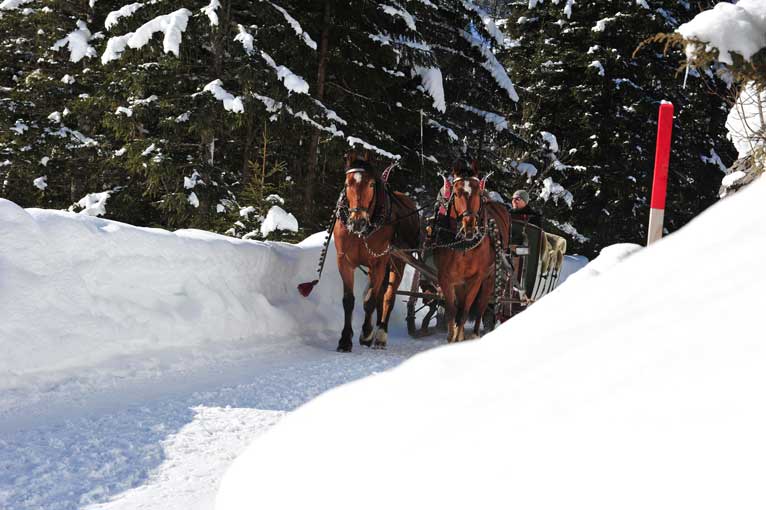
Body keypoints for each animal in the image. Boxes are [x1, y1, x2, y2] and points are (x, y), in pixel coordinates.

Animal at [334, 151, 420, 350]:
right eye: (347, 184)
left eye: (371, 184)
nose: (357, 221)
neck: (362, 233)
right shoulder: (344, 261)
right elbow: (349, 301)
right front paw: (345, 340)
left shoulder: (378, 262)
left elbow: (370, 301)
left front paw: (366, 334)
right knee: (382, 294)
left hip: (398, 261)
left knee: (388, 296)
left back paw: (380, 334)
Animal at [432, 159, 510, 342]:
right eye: (456, 193)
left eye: (477, 192)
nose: (469, 226)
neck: (464, 246)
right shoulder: (446, 278)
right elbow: (452, 311)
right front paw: (452, 336)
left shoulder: (475, 280)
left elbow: (465, 311)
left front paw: (458, 337)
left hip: (490, 278)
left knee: (481, 306)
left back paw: (475, 333)